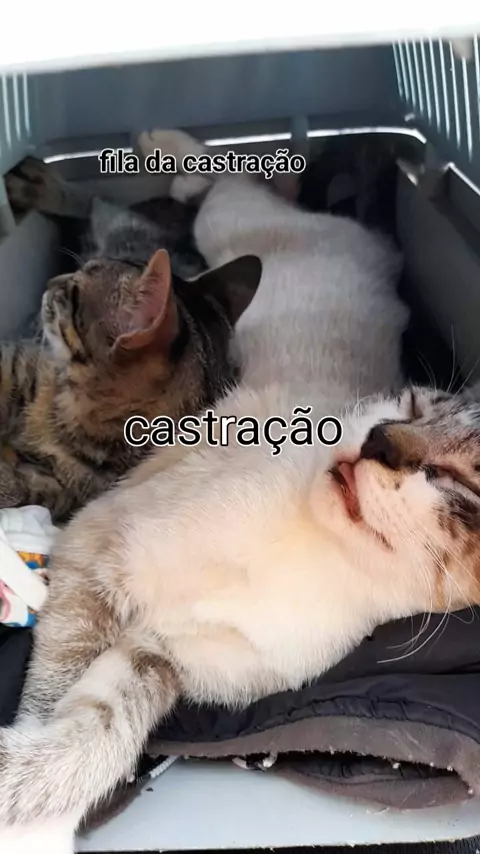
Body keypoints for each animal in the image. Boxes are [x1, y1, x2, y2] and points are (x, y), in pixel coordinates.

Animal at [0, 167, 262, 521]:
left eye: (72, 292)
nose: (50, 282)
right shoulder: (22, 364)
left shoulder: (59, 492)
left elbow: (18, 490)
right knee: (95, 203)